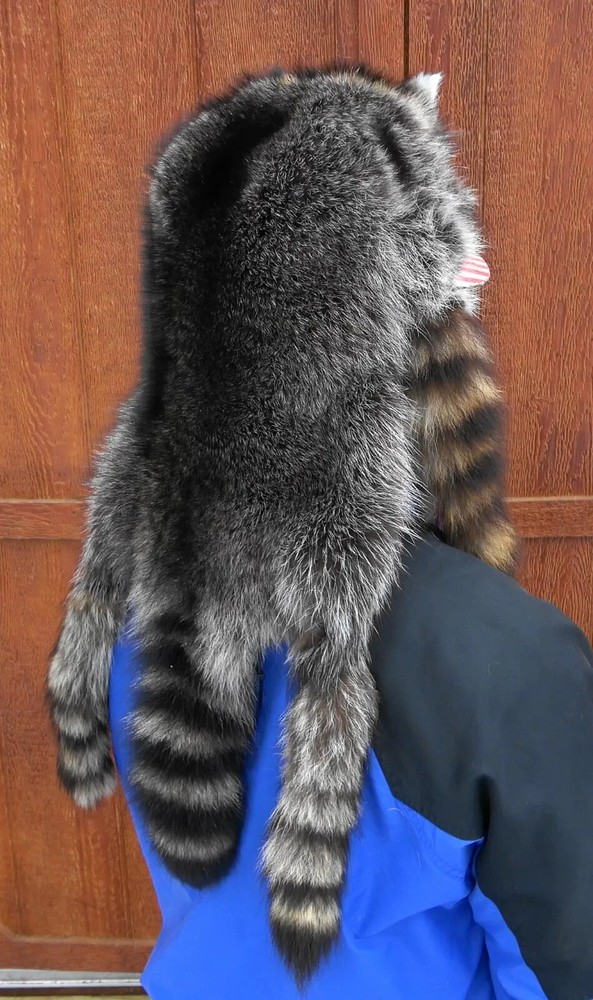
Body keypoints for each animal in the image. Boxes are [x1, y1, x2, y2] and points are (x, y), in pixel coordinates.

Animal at [48, 66, 517, 983]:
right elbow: (420, 241)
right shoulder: (404, 200)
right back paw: (335, 690)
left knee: (96, 575)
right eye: (454, 208)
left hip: (128, 451)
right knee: (335, 650)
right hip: (344, 476)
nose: (480, 261)